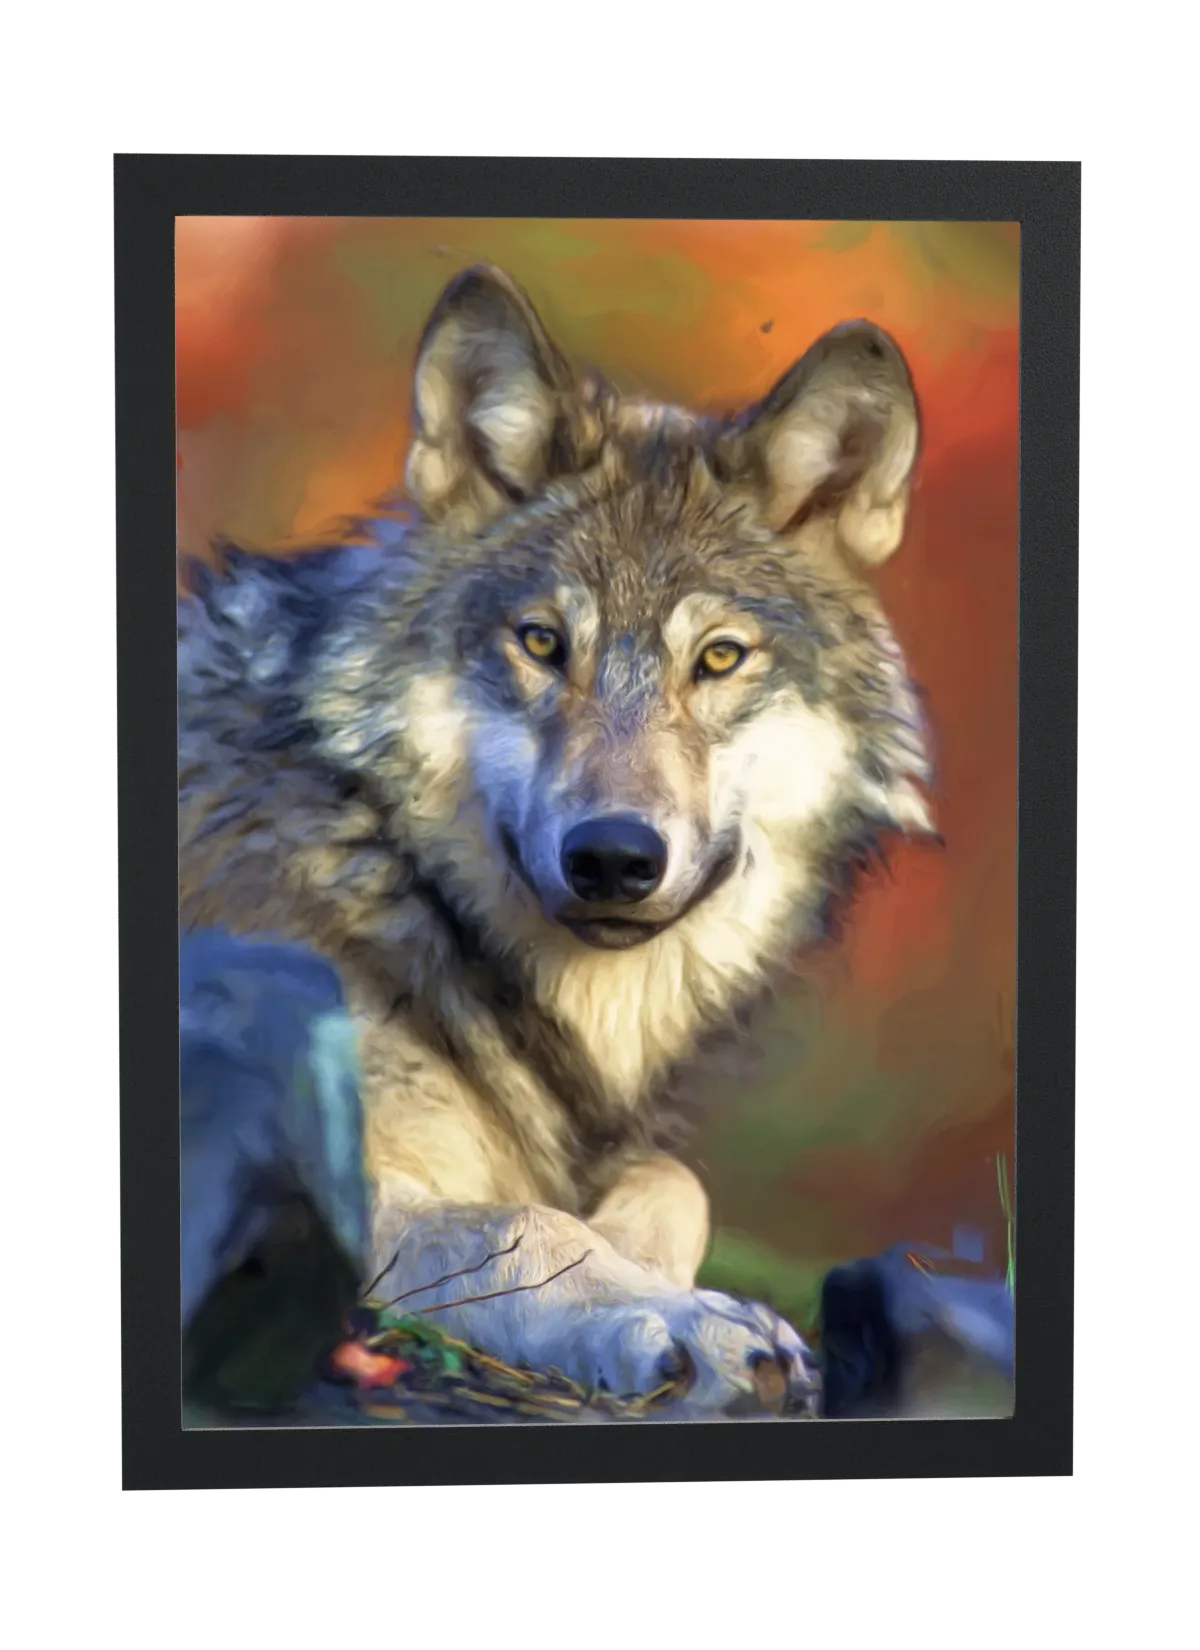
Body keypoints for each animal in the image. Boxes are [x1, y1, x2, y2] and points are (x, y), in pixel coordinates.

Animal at [178, 264, 935, 1417]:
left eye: (719, 658)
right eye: (542, 643)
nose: (614, 857)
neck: (388, 872)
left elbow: (672, 1182)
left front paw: (650, 1269)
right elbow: (519, 1223)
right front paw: (680, 1320)